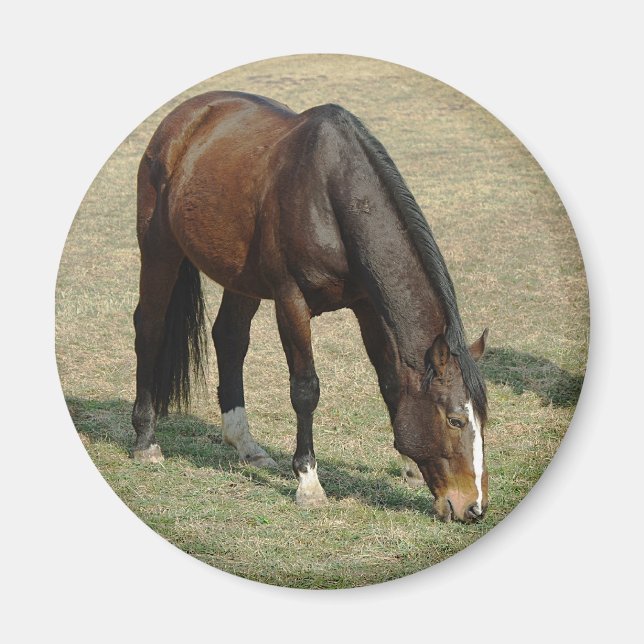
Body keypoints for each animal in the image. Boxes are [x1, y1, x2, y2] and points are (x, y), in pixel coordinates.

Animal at [132, 91, 489, 523]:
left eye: (484, 419)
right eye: (455, 419)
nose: (474, 507)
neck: (332, 193)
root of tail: (185, 117)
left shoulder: (367, 306)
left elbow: (390, 381)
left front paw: (409, 466)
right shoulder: (291, 301)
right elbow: (305, 389)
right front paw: (308, 483)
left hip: (241, 278)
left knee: (230, 339)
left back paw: (246, 445)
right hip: (159, 249)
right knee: (149, 329)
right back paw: (146, 440)